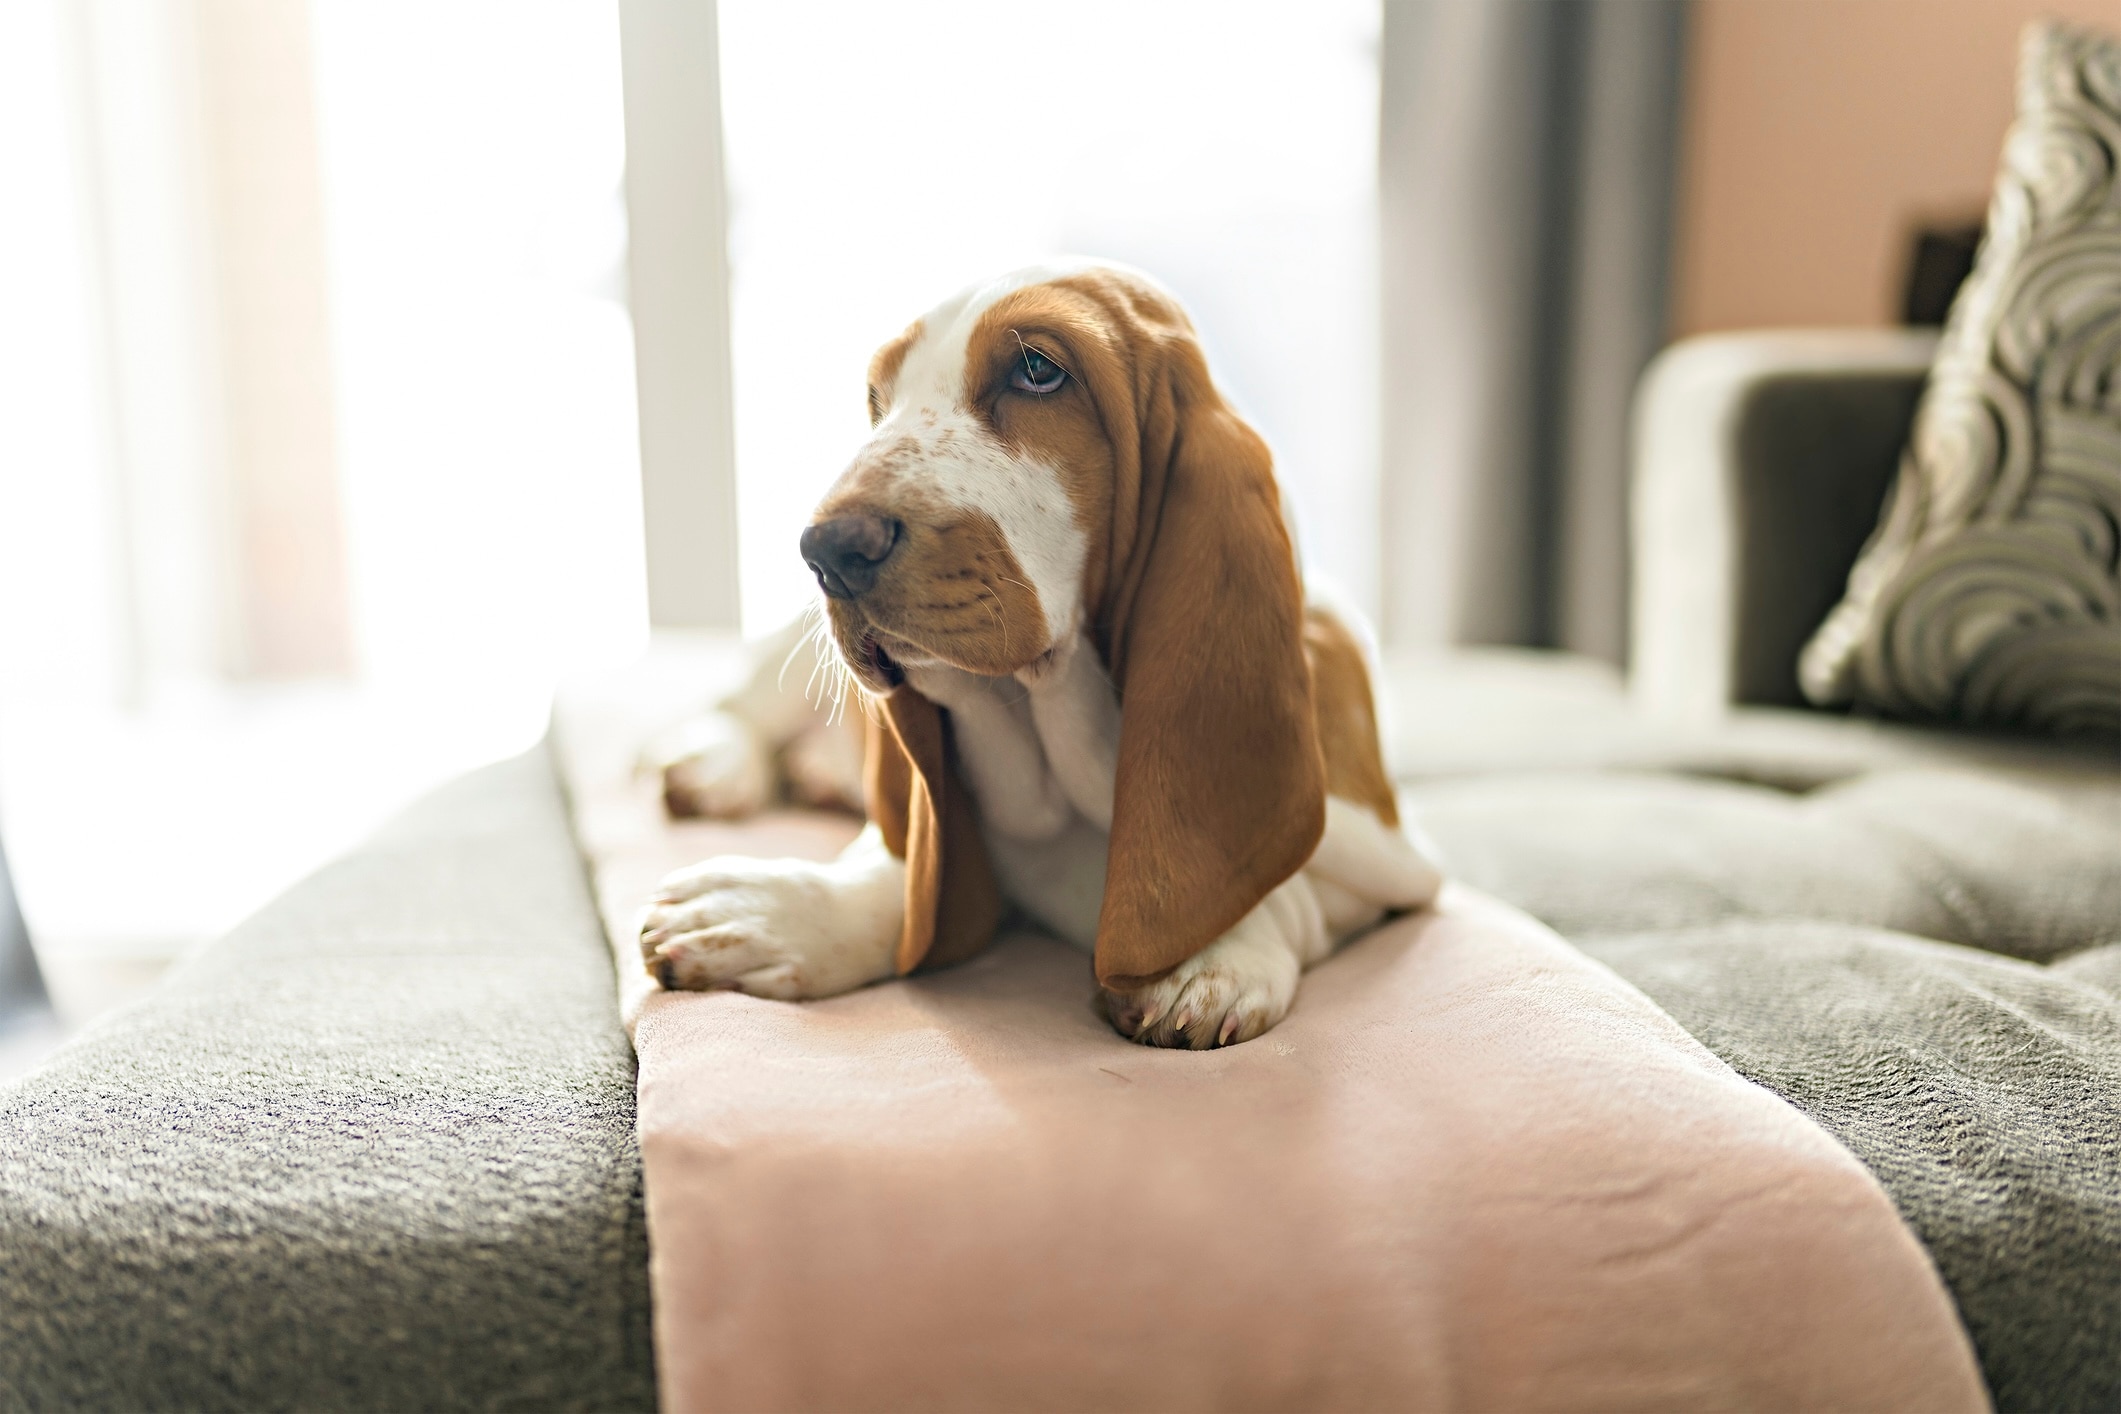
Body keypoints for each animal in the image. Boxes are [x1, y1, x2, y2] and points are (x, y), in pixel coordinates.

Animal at [640, 262, 1442, 1051]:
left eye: (1037, 370)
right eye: (876, 400)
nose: (827, 551)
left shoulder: (1394, 858)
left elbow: (1291, 886)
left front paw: (1213, 955)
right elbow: (910, 872)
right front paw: (763, 912)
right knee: (741, 708)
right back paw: (716, 766)